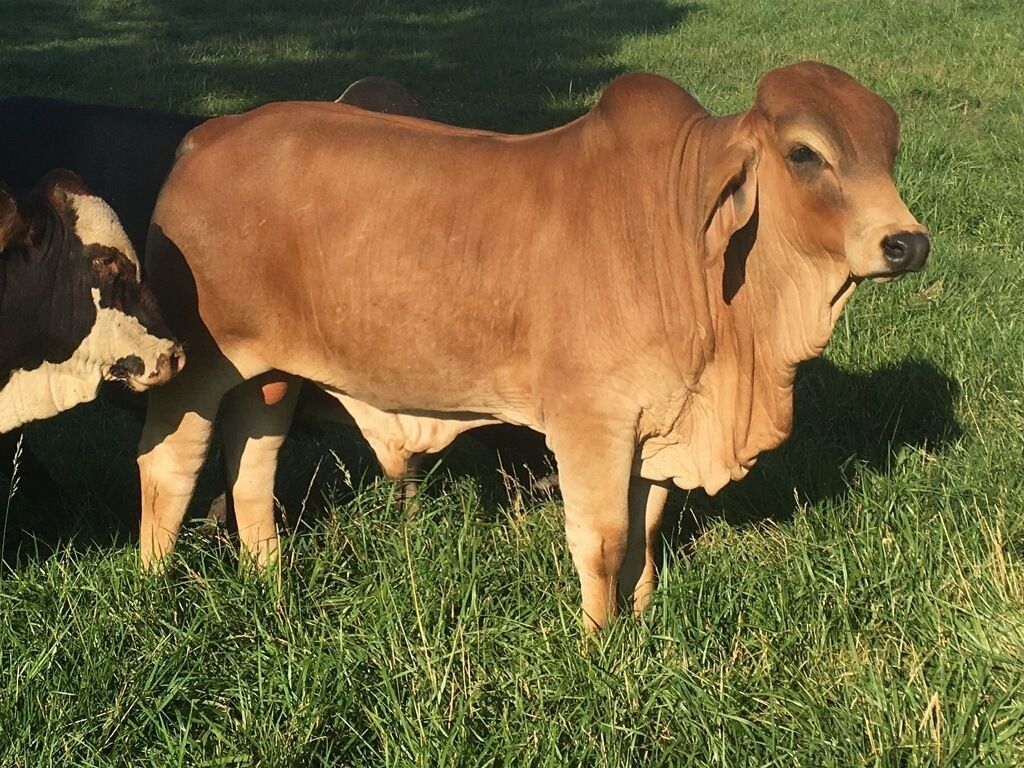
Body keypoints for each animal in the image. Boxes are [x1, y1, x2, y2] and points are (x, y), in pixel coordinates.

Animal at [137, 61, 929, 630]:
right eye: (805, 153)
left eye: (890, 147)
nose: (907, 243)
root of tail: (203, 139)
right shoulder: (591, 422)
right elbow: (603, 538)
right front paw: (596, 644)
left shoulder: (654, 426)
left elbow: (646, 531)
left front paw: (639, 619)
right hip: (196, 367)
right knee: (169, 464)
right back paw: (152, 585)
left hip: (270, 375)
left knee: (253, 467)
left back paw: (269, 579)